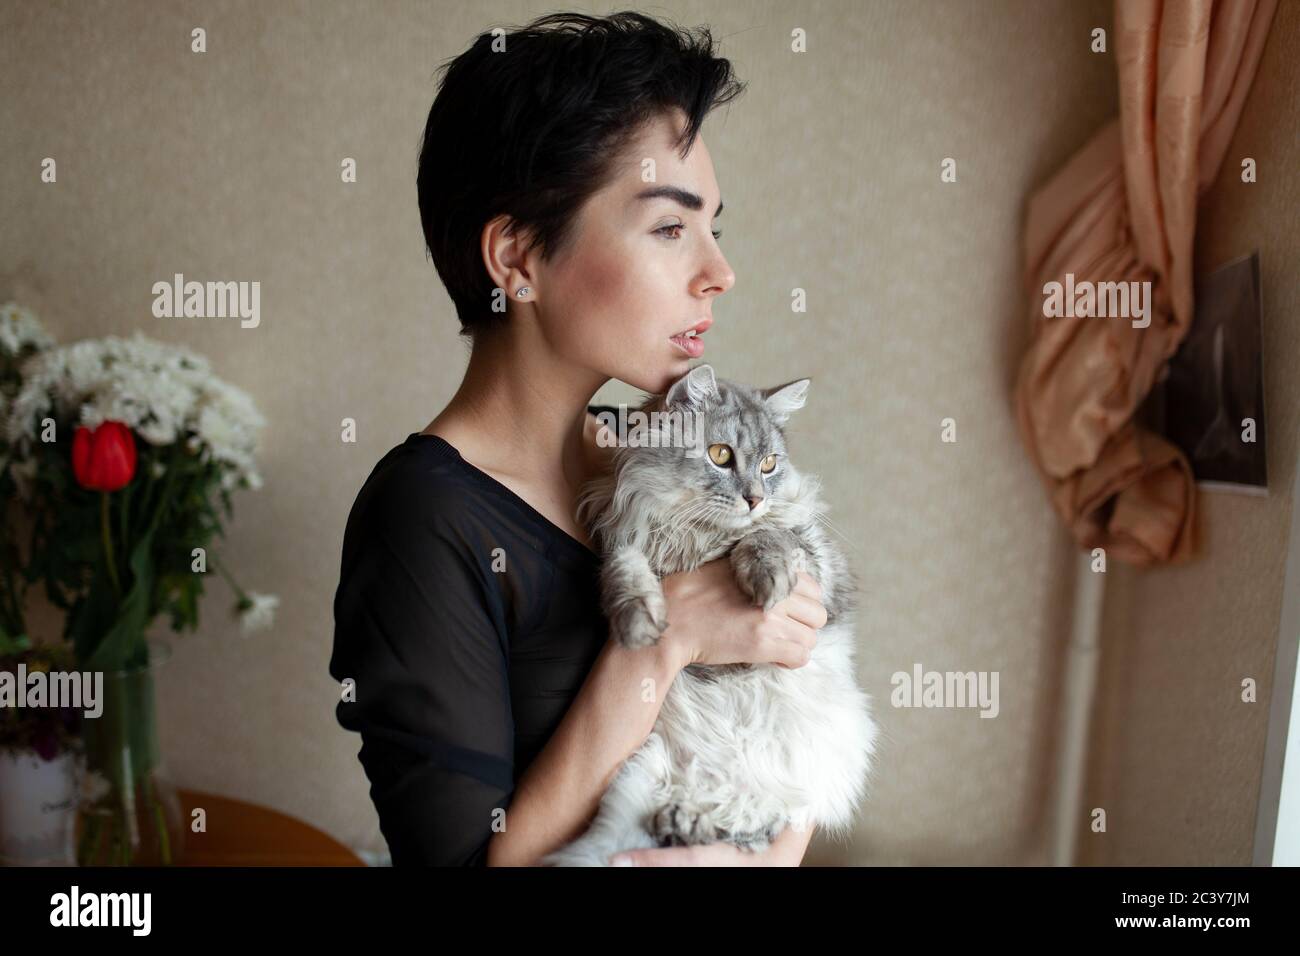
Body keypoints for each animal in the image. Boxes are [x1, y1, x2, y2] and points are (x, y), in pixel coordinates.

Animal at [543, 364, 878, 868]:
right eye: (721, 456)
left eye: (769, 465)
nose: (755, 499)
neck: (694, 534)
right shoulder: (625, 543)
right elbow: (626, 573)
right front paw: (638, 622)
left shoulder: (819, 569)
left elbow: (768, 537)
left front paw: (766, 579)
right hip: (640, 774)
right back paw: (679, 823)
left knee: (753, 823)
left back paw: (687, 821)